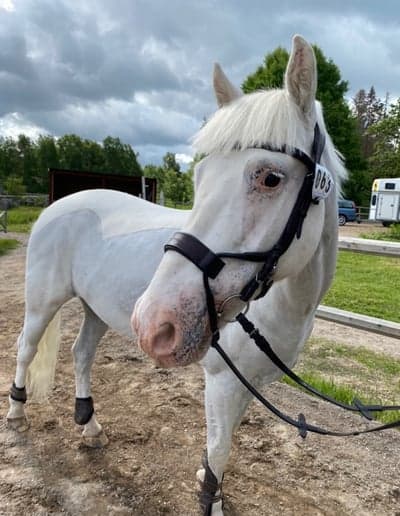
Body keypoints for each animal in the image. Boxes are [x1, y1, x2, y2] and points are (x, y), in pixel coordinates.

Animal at [6, 34, 346, 512]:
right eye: (200, 176)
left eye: (270, 178)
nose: (155, 323)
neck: (282, 302)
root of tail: (59, 205)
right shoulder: (222, 381)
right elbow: (220, 449)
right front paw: (210, 500)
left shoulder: (244, 383)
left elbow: (221, 446)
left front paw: (208, 481)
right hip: (43, 301)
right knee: (26, 347)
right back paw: (17, 411)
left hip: (96, 308)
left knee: (81, 353)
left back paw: (89, 426)